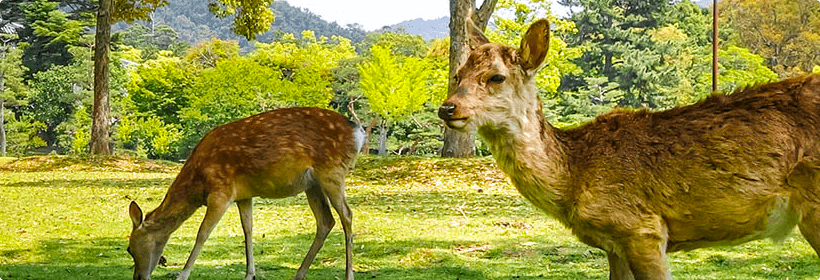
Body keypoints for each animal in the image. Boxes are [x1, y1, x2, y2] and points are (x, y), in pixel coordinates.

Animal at [126, 106, 364, 278]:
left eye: (129, 249)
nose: (138, 277)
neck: (198, 183)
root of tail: (358, 133)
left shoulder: (220, 191)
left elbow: (202, 233)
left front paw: (182, 274)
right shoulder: (243, 195)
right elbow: (247, 230)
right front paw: (250, 274)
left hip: (332, 172)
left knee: (347, 215)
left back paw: (348, 275)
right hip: (312, 185)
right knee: (326, 220)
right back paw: (299, 274)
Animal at [438, 18, 820, 278]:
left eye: (496, 77)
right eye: (457, 75)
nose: (447, 108)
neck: (575, 176)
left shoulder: (642, 229)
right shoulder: (614, 243)